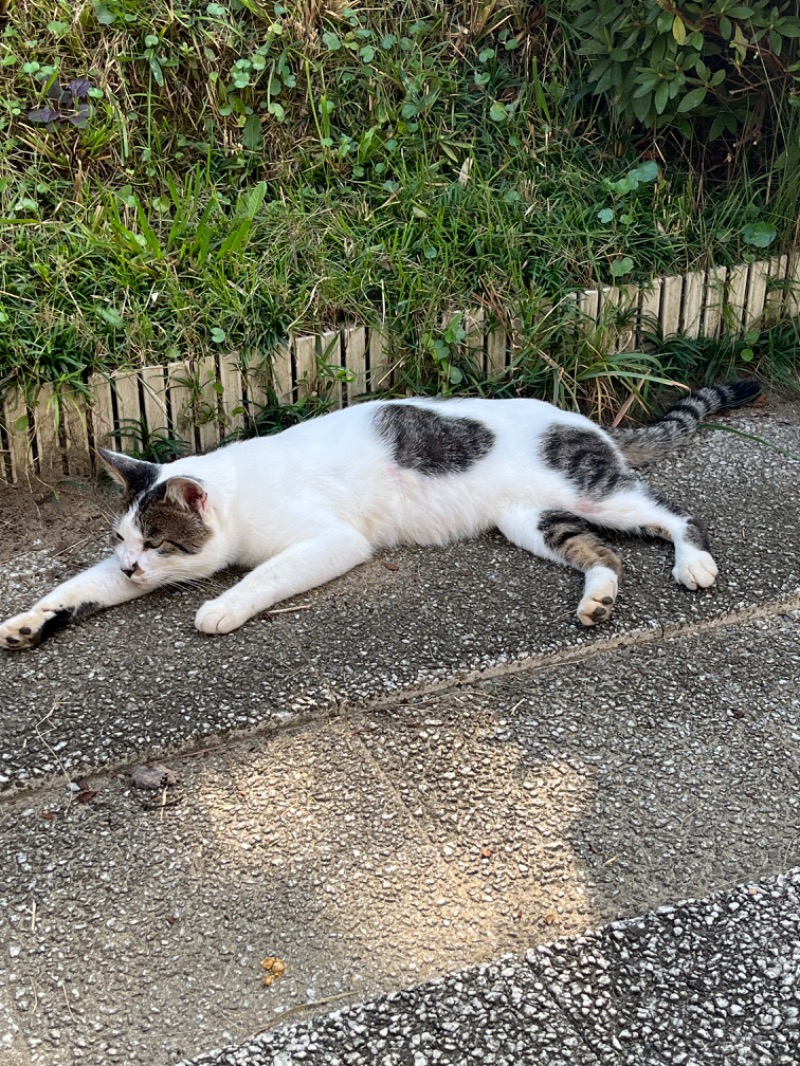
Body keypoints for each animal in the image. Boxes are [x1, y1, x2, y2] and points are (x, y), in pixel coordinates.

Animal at [0, 383, 759, 648]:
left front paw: (220, 608)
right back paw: (596, 602)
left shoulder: (331, 542)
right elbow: (75, 588)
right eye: (124, 539)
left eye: (158, 543)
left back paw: (695, 562)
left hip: (596, 492)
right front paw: (29, 621)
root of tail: (587, 418)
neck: (239, 492)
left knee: (674, 513)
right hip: (532, 522)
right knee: (604, 555)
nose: (134, 566)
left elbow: (260, 577)